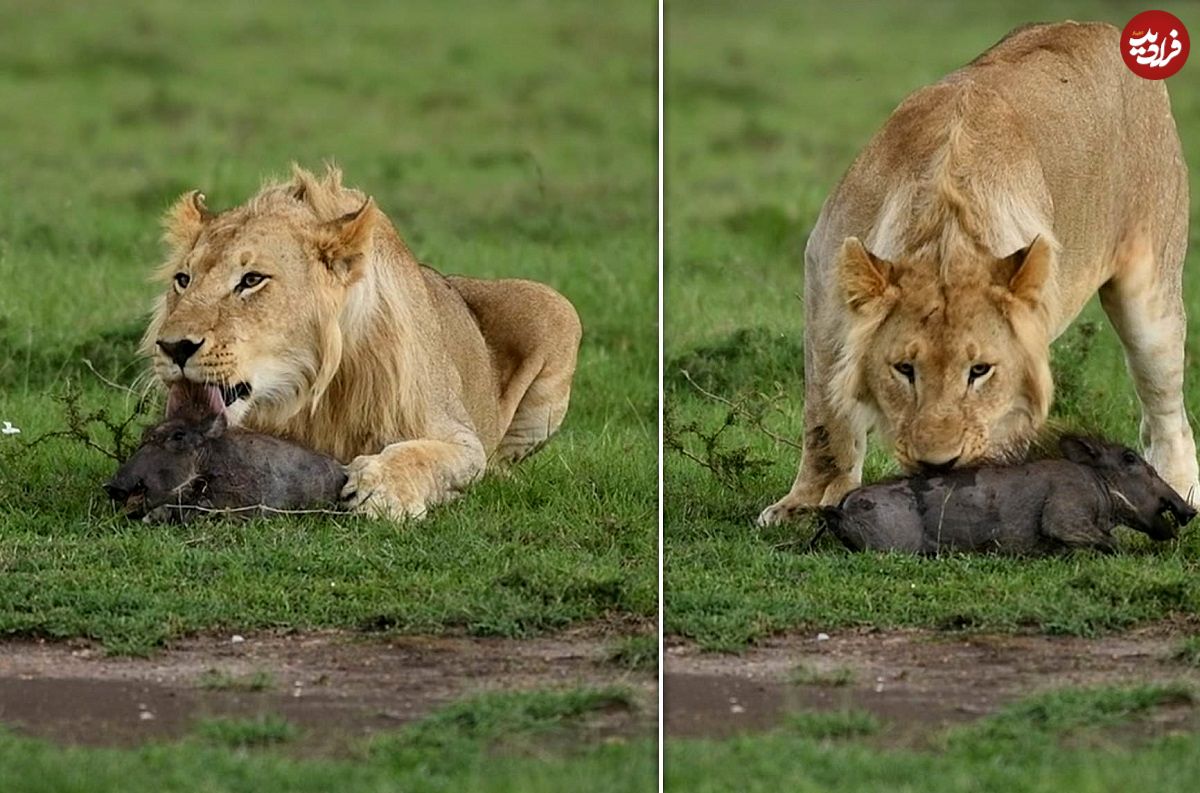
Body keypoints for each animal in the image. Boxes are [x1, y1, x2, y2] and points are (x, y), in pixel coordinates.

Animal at [142, 163, 583, 520]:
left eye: (252, 279)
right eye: (183, 280)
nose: (173, 347)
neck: (309, 391)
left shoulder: (458, 435)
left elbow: (432, 456)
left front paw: (381, 489)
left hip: (557, 307)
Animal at [758, 20, 1200, 525]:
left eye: (980, 370)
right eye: (904, 369)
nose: (937, 464)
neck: (944, 234)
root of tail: (1099, 25)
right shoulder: (826, 291)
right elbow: (825, 415)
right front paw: (804, 505)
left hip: (1151, 295)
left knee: (1166, 406)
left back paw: (1181, 490)